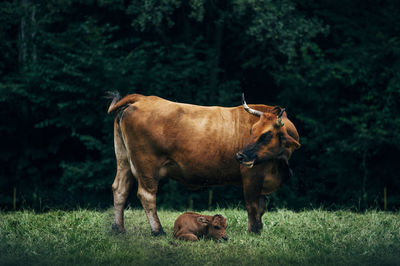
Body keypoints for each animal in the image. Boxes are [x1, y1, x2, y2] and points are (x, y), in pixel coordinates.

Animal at [107, 93, 300, 235]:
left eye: (266, 135)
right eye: (252, 130)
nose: (240, 156)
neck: (279, 164)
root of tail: (143, 98)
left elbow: (261, 207)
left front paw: (259, 229)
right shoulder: (252, 176)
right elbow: (253, 206)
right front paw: (253, 231)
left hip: (123, 160)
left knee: (120, 189)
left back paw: (118, 228)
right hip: (147, 166)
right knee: (147, 195)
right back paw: (158, 230)